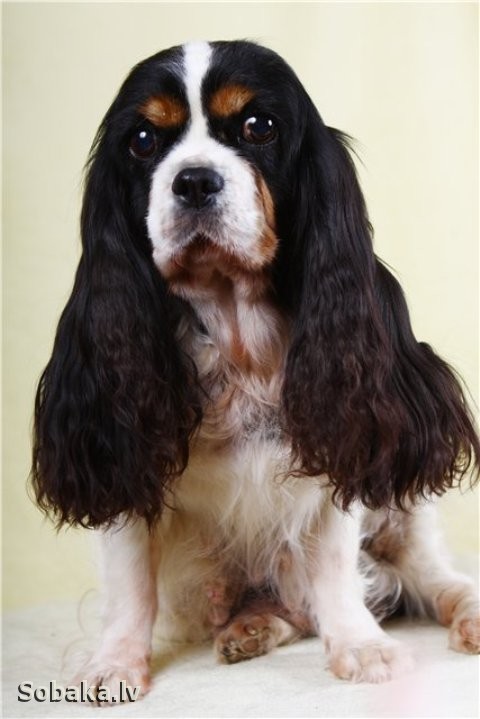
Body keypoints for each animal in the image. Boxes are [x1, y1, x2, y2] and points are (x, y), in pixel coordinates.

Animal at [32, 40, 480, 696]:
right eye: (142, 140)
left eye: (258, 126)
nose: (194, 180)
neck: (235, 330)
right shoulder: (125, 458)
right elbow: (131, 581)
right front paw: (114, 663)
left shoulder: (341, 445)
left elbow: (335, 564)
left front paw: (360, 646)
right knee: (293, 608)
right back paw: (253, 626)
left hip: (402, 523)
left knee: (435, 579)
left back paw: (465, 614)